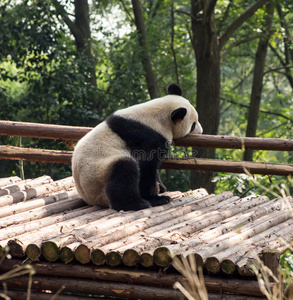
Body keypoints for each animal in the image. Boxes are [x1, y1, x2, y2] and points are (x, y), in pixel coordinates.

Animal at [72, 83, 202, 211]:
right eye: (193, 125)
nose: (201, 132)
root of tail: (90, 199)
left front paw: (161, 187)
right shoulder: (148, 137)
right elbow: (146, 165)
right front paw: (157, 198)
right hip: (98, 173)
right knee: (124, 170)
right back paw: (136, 203)